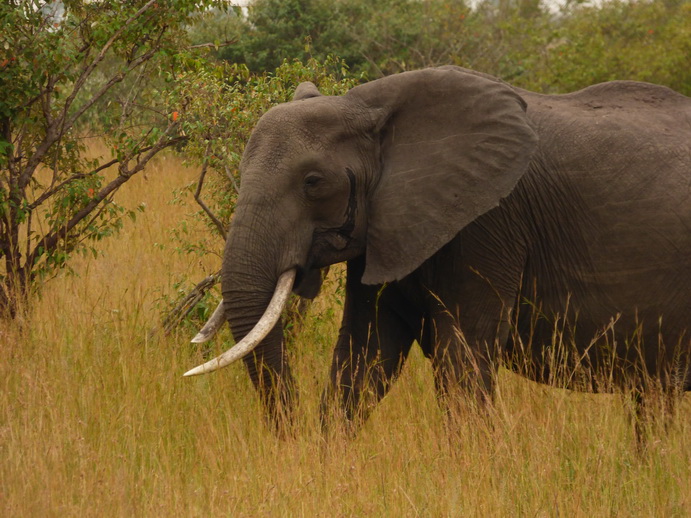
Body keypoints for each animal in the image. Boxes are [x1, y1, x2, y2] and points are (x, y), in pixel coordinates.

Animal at [184, 66, 691, 434]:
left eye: (313, 182)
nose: (291, 434)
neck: (366, 106)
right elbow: (365, 354)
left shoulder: (487, 223)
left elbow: (461, 361)